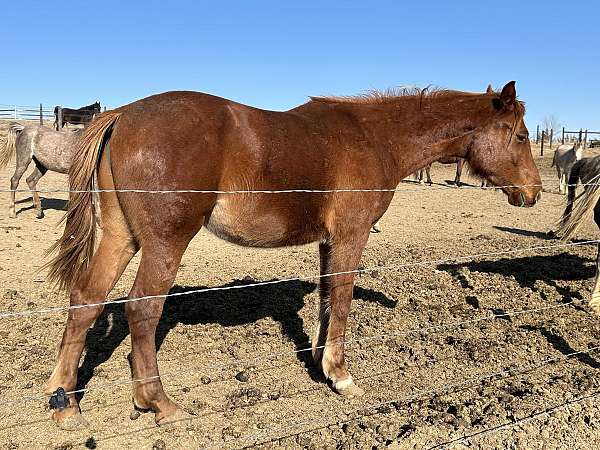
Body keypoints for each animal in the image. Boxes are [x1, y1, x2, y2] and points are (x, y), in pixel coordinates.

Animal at [44, 81, 540, 428]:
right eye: (519, 136)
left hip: (122, 238)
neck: (374, 138)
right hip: (166, 243)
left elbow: (325, 298)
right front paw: (340, 375)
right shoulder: (351, 236)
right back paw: (159, 403)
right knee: (142, 309)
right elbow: (342, 298)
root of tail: (123, 114)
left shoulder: (327, 241)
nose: (533, 192)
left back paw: (65, 403)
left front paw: (320, 364)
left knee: (86, 300)